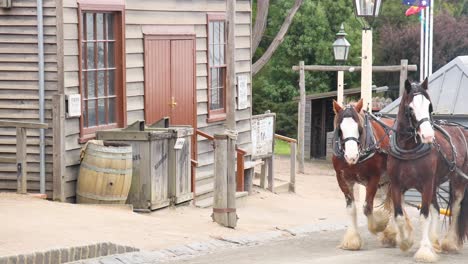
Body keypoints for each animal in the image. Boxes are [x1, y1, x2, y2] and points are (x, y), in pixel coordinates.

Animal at [332, 99, 394, 250]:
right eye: (340, 129)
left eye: (359, 128)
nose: (351, 156)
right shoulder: (343, 179)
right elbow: (351, 208)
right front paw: (352, 239)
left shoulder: (373, 179)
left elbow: (367, 208)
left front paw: (379, 224)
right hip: (386, 181)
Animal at [388, 79, 468, 262]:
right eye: (410, 108)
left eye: (429, 106)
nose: (428, 136)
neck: (408, 149)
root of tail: (463, 129)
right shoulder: (396, 185)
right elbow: (399, 216)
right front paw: (406, 242)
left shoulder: (426, 184)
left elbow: (424, 216)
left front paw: (424, 251)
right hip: (434, 184)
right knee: (437, 209)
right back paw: (435, 242)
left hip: (458, 179)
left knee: (455, 207)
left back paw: (448, 242)